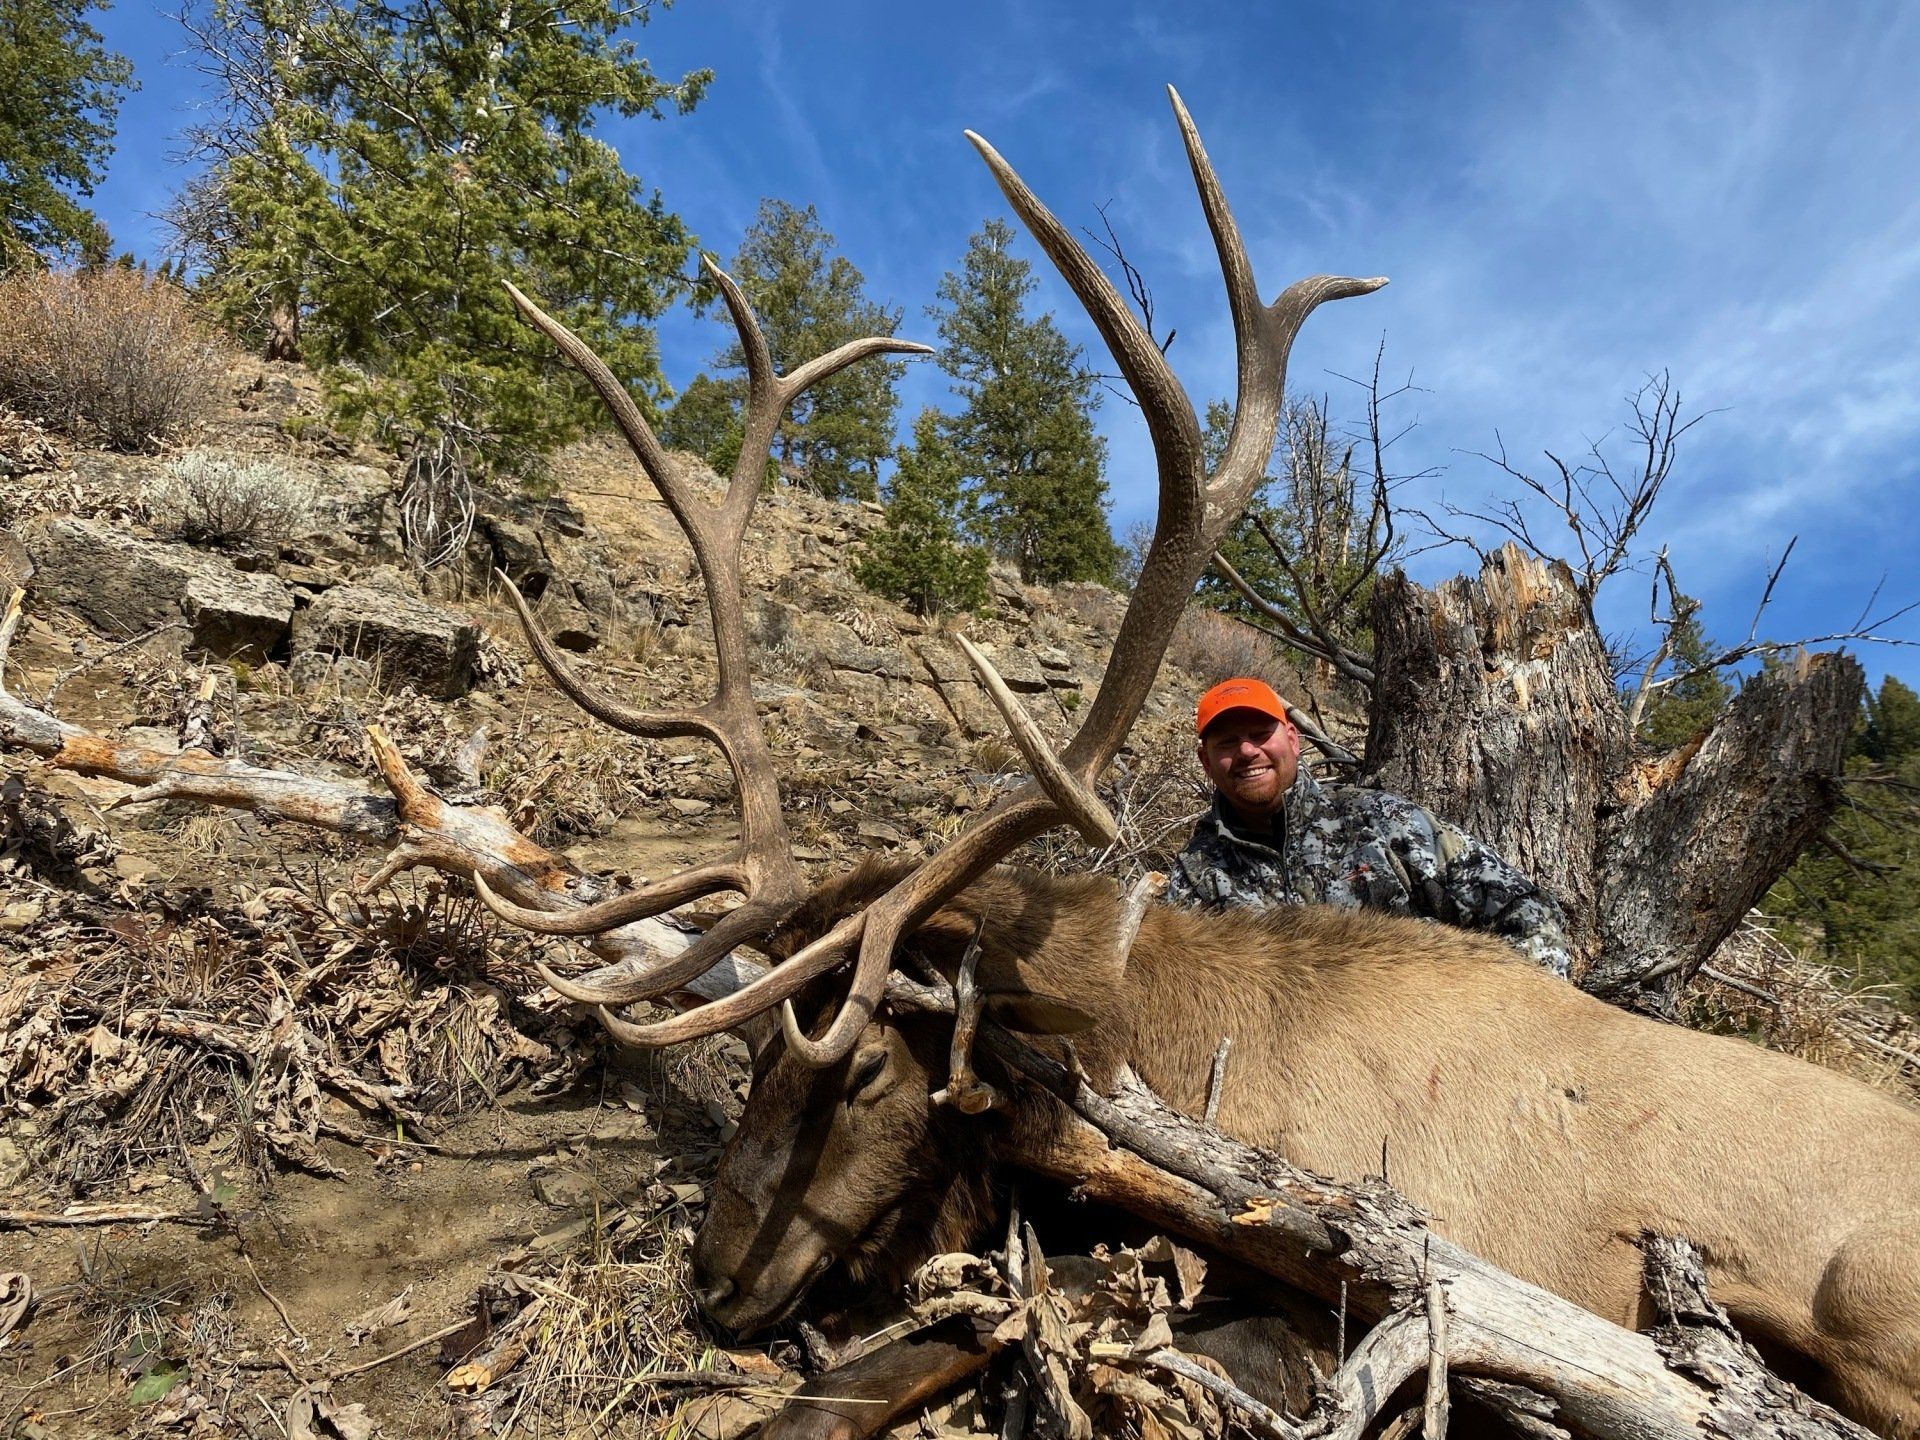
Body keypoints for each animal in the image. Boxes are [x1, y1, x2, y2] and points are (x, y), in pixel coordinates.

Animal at [468, 89, 1920, 1440]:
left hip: (1860, 1295)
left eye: (865, 1067)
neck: (1156, 1041)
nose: (713, 1283)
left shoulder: (1337, 1285)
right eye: (759, 1051)